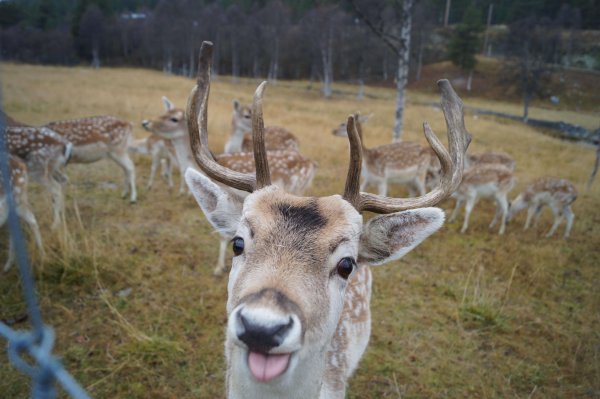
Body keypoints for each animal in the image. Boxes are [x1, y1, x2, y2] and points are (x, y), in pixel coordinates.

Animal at [141, 95, 318, 276]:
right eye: (165, 112)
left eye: (173, 118)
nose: (146, 123)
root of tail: (311, 164)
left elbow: (225, 232)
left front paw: (219, 268)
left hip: (297, 188)